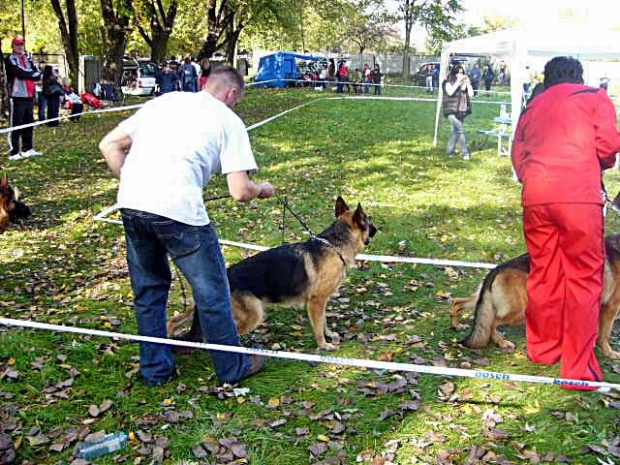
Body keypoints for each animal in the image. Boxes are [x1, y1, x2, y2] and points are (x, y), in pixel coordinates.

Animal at [167, 195, 376, 348]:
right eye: (368, 221)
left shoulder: (320, 301)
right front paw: (323, 345)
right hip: (253, 316)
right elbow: (318, 326)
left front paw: (329, 335)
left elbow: (323, 321)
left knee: (174, 319)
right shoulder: (316, 302)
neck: (334, 245)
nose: (377, 229)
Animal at [450, 234, 620, 358]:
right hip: (518, 311)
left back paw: (457, 325)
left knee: (458, 303)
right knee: (492, 323)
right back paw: (502, 343)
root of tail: (498, 268)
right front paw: (609, 353)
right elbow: (604, 334)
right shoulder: (611, 308)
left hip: (486, 302)